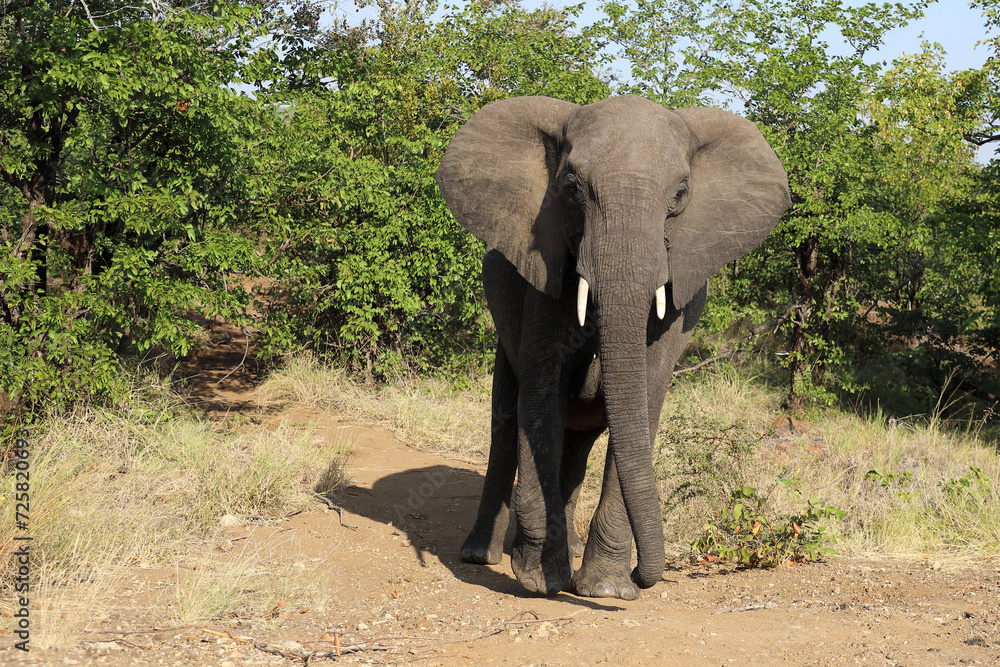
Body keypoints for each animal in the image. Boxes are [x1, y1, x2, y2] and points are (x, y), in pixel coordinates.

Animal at [434, 92, 792, 600]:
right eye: (570, 187)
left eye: (680, 195)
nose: (647, 575)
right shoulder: (545, 274)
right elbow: (539, 401)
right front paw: (541, 580)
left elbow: (644, 400)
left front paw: (604, 589)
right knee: (506, 423)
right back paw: (481, 555)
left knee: (577, 448)